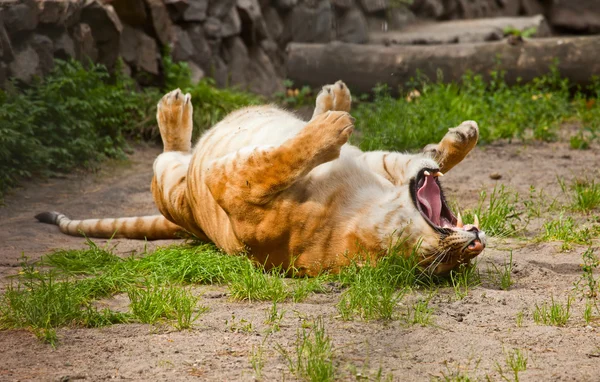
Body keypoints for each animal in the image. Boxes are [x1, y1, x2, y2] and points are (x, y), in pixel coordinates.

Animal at [37, 80, 486, 274]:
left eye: (448, 264)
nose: (476, 243)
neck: (369, 203)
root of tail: (190, 222)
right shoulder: (376, 163)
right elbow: (427, 158)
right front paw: (462, 137)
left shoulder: (230, 183)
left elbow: (278, 161)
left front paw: (330, 128)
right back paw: (334, 98)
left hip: (170, 182)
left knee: (170, 154)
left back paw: (173, 109)